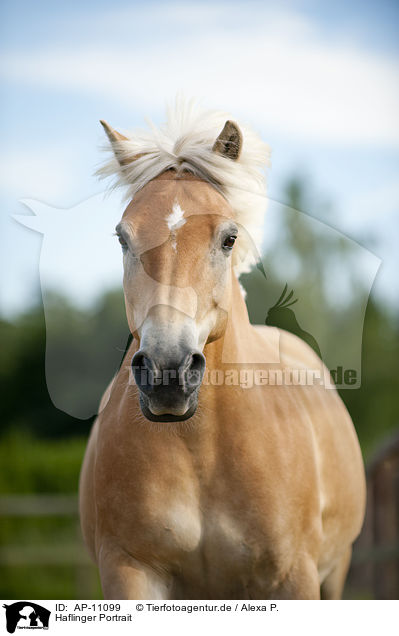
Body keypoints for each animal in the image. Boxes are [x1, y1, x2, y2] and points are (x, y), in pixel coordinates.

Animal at [78, 102, 366, 600]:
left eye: (229, 238)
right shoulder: (128, 571)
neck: (202, 451)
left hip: (336, 571)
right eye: (122, 238)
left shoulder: (295, 576)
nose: (167, 372)